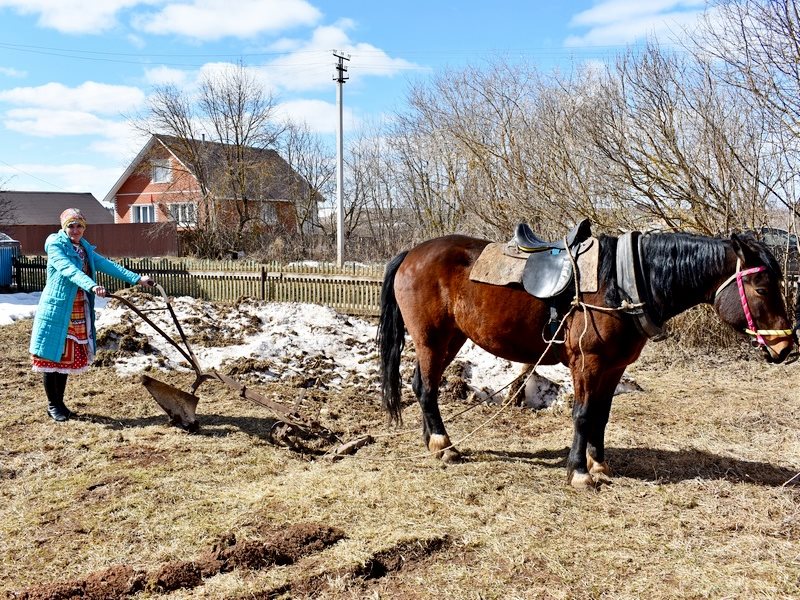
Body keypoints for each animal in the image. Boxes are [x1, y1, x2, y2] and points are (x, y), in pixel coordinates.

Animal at [380, 230, 792, 488]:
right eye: (760, 287)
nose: (787, 347)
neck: (622, 283)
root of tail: (411, 254)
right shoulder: (587, 363)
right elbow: (581, 414)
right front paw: (579, 472)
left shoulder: (614, 366)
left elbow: (600, 415)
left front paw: (599, 464)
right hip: (433, 340)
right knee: (426, 388)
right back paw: (444, 446)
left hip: (450, 339)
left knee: (422, 386)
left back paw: (433, 442)